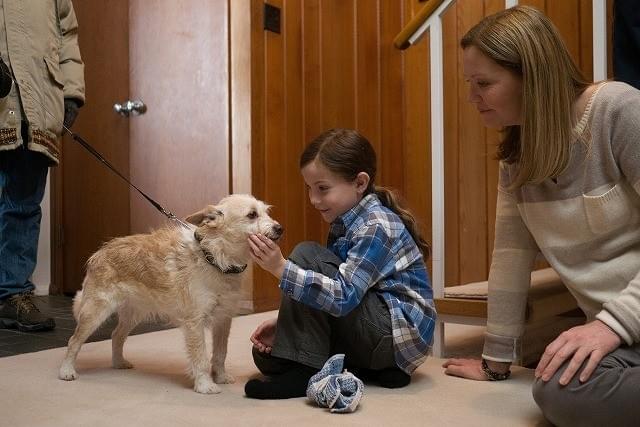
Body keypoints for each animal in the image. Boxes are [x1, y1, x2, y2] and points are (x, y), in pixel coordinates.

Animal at [58, 194, 282, 394]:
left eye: (266, 212)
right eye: (252, 215)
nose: (280, 228)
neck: (215, 257)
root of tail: (100, 253)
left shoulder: (223, 320)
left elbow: (220, 353)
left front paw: (220, 376)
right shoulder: (194, 322)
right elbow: (200, 357)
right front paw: (205, 385)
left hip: (133, 313)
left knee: (116, 335)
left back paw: (118, 362)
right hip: (95, 312)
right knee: (74, 341)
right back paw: (66, 370)